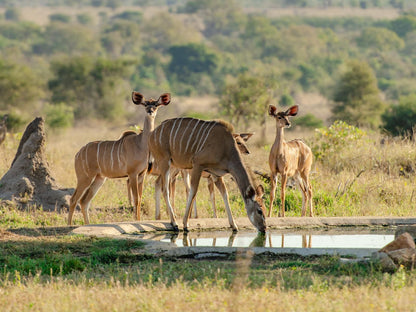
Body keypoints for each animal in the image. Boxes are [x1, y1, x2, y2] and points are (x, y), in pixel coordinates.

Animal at [68, 91, 171, 225]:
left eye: (156, 105)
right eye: (145, 104)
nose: (150, 111)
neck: (141, 144)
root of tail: (77, 154)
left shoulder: (141, 175)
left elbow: (140, 198)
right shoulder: (132, 174)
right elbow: (136, 199)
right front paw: (136, 221)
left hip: (99, 178)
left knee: (84, 201)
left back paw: (87, 224)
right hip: (84, 177)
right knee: (74, 199)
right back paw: (69, 224)